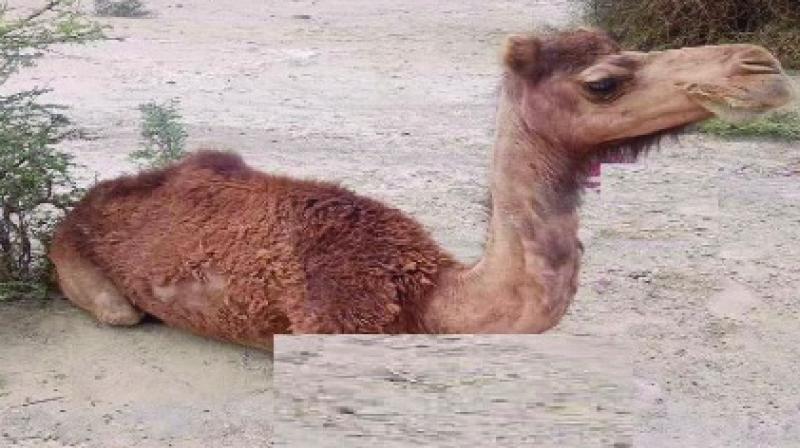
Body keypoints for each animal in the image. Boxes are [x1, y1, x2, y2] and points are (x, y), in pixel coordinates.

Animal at [49, 30, 794, 349]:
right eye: (603, 82)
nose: (761, 68)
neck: (426, 296)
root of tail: (80, 206)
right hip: (83, 273)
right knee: (119, 311)